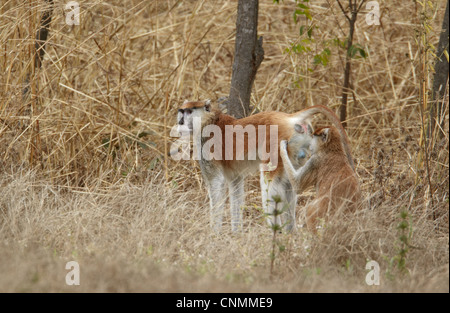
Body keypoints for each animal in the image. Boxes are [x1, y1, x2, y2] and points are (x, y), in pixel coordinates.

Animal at [175, 99, 344, 232]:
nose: (180, 122)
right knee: (290, 184)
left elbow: (216, 183)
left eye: (189, 112)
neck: (209, 120)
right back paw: (289, 233)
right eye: (181, 112)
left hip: (276, 145)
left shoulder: (206, 145)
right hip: (297, 148)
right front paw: (236, 234)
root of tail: (288, 118)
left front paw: (214, 234)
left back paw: (274, 233)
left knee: (269, 182)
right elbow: (236, 185)